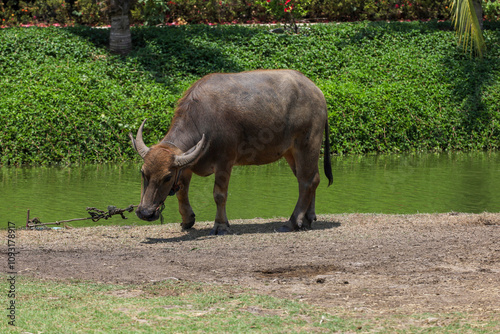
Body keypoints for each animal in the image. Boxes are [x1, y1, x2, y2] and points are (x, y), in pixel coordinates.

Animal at [130, 69, 332, 234]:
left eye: (166, 177)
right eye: (143, 173)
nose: (145, 212)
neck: (202, 119)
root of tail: (317, 92)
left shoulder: (225, 161)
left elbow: (219, 195)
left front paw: (220, 225)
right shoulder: (186, 164)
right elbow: (182, 191)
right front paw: (187, 220)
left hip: (307, 145)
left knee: (306, 182)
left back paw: (293, 222)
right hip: (290, 152)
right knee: (312, 179)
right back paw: (308, 219)